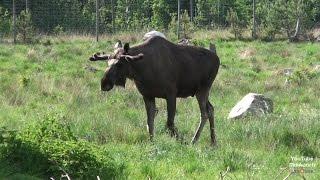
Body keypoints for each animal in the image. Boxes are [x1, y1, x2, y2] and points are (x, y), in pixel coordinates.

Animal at [89, 36, 220, 145]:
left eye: (120, 64)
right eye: (107, 62)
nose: (104, 83)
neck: (140, 70)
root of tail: (217, 59)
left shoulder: (171, 94)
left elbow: (169, 123)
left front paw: (182, 141)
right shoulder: (147, 95)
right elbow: (149, 122)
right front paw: (151, 142)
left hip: (203, 89)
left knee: (204, 113)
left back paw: (194, 140)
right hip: (201, 92)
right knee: (211, 109)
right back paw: (213, 141)